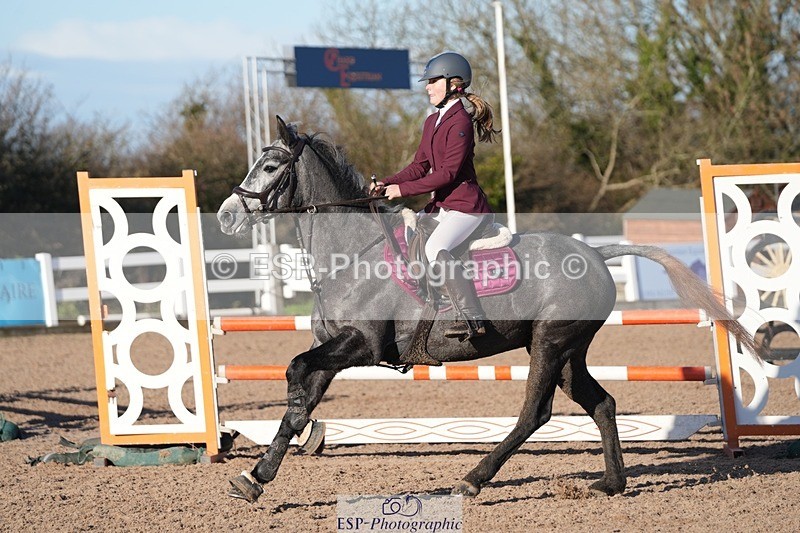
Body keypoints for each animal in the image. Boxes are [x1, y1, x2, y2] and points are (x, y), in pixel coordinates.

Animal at [217, 116, 759, 503]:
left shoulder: (360, 346)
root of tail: (596, 254)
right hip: (568, 352)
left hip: (549, 344)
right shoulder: (332, 347)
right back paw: (611, 484)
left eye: (270, 168)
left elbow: (295, 372)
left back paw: (473, 478)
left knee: (535, 413)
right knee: (602, 403)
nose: (224, 215)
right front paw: (257, 475)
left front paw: (280, 448)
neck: (355, 253)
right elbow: (300, 392)